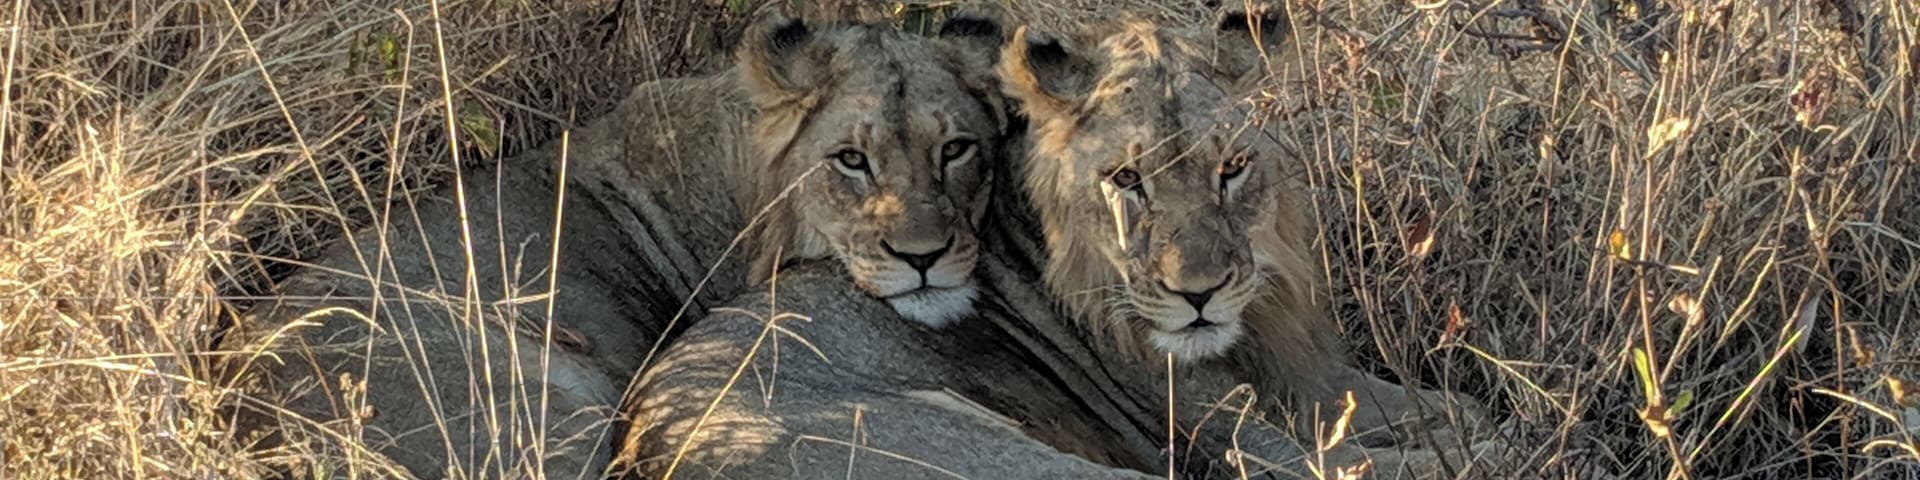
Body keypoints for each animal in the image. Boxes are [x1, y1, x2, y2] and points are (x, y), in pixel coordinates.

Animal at [997, 4, 1491, 446]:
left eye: (1231, 167)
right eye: (1125, 178)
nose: (1199, 295)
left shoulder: (1306, 376)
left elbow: (1442, 408)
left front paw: (1464, 417)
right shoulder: (1247, 445)